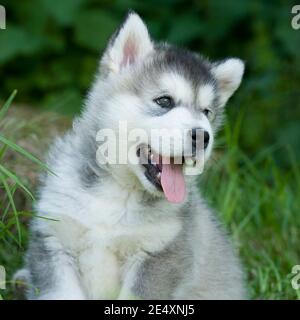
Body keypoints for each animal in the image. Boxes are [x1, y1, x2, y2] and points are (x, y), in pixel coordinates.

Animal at [15, 11, 246, 300]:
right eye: (164, 101)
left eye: (207, 112)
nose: (203, 137)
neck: (117, 192)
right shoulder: (54, 239)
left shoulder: (158, 254)